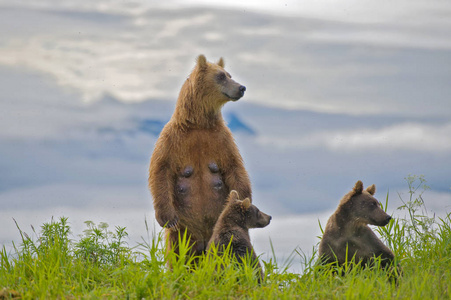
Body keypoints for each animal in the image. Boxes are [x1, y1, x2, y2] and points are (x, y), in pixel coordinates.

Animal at [149, 54, 252, 258]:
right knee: (179, 253)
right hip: (184, 230)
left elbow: (235, 168)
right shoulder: (172, 140)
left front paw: (243, 201)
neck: (198, 123)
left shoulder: (222, 140)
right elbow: (161, 170)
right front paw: (166, 217)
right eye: (221, 76)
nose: (241, 87)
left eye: (229, 74)